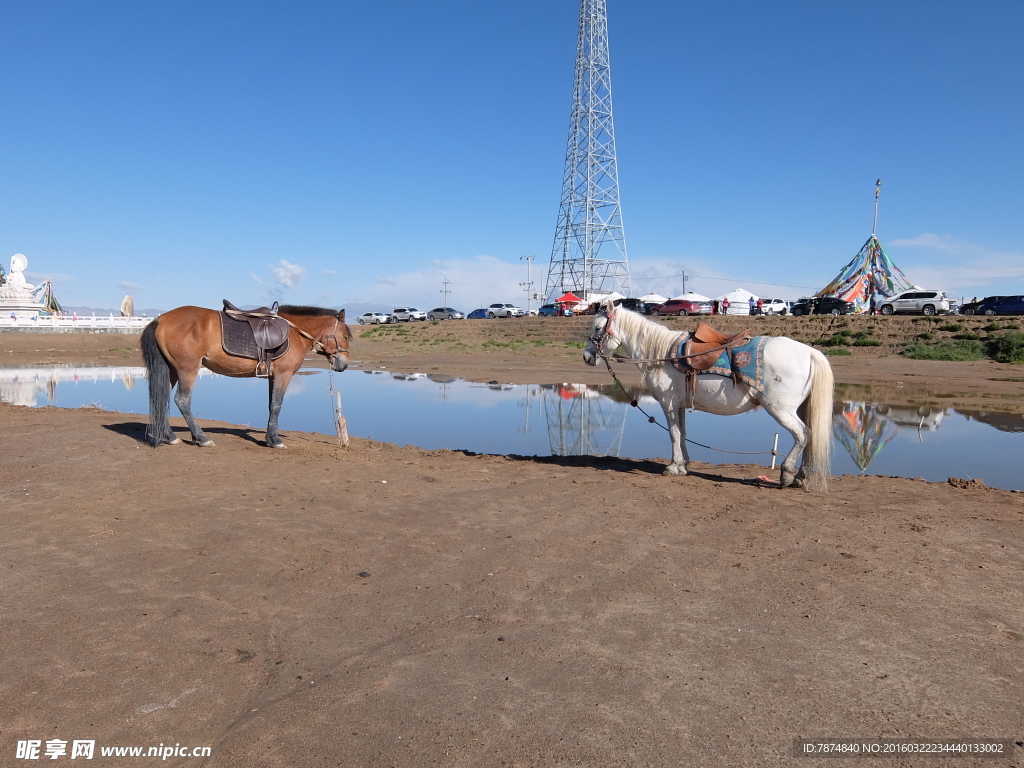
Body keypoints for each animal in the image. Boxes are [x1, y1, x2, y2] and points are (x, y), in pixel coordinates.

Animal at [140, 307, 350, 448]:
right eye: (346, 336)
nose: (345, 364)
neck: (294, 333)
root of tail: (161, 320)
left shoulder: (272, 377)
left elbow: (271, 406)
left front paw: (269, 438)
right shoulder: (283, 375)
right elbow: (277, 406)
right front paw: (275, 441)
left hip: (172, 370)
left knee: (161, 398)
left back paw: (170, 436)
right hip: (187, 369)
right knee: (182, 400)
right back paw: (202, 438)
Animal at [581, 303, 835, 489]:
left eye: (597, 328)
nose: (586, 357)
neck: (662, 356)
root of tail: (810, 352)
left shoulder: (668, 403)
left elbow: (673, 433)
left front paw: (672, 467)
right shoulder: (680, 405)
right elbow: (682, 433)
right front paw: (683, 465)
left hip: (780, 409)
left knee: (802, 434)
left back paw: (787, 474)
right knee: (809, 436)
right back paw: (801, 476)